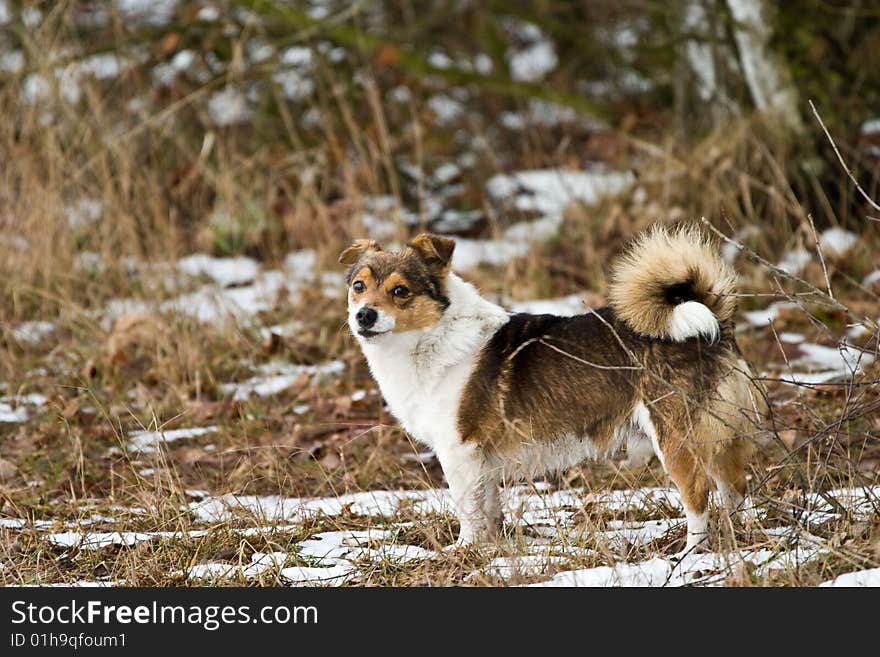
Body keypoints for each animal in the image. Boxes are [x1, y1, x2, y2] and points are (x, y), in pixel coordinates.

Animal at [340, 224, 760, 548]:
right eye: (358, 286)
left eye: (400, 291)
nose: (364, 316)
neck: (432, 337)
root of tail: (713, 323)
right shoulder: (482, 464)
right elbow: (488, 509)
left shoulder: (459, 453)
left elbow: (468, 511)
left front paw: (464, 550)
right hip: (720, 436)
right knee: (735, 488)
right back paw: (741, 538)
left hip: (675, 439)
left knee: (699, 496)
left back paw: (691, 553)